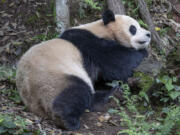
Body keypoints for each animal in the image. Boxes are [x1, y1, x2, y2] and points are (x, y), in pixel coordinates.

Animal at [15, 9, 150, 131]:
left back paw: (112, 96)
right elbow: (118, 61)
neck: (101, 29)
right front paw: (143, 53)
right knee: (76, 92)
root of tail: (33, 103)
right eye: (133, 28)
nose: (148, 34)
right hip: (53, 79)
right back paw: (68, 121)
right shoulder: (88, 42)